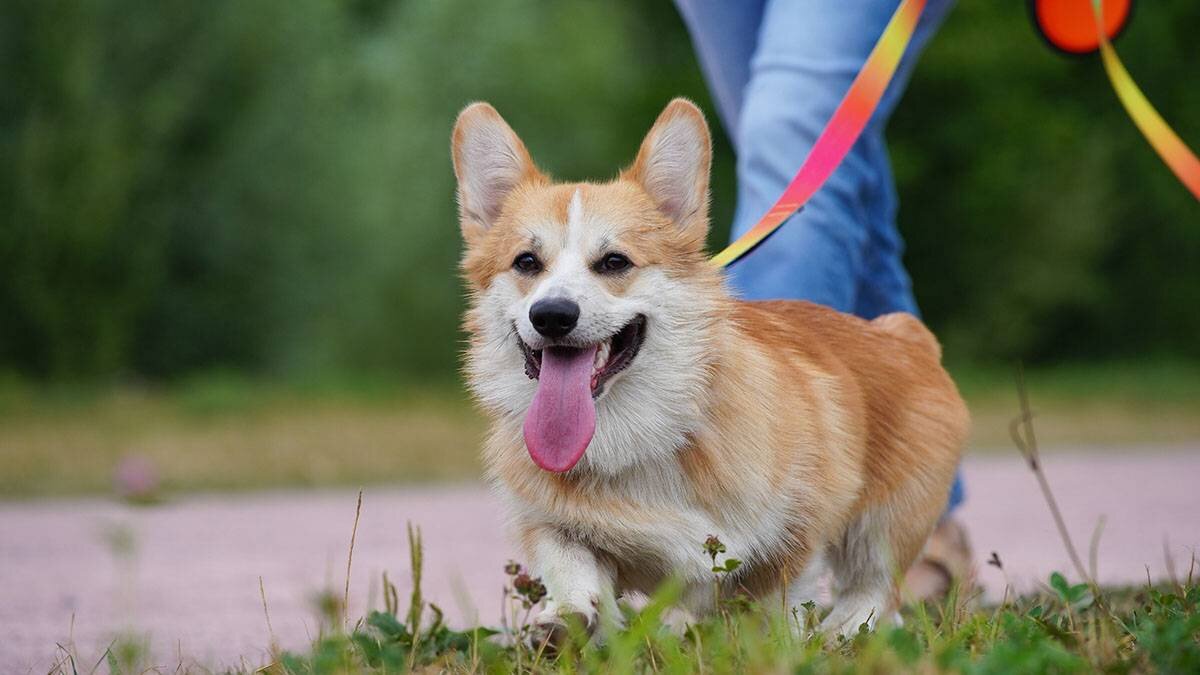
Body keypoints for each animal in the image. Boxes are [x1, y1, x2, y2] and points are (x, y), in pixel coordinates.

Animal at [451, 97, 964, 634]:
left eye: (614, 262)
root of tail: (903, 335)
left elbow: (777, 606)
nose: (551, 315)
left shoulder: (793, 528)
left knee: (876, 592)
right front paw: (567, 620)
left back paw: (841, 631)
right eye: (526, 262)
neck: (635, 435)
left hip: (884, 523)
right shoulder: (555, 522)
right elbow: (569, 561)